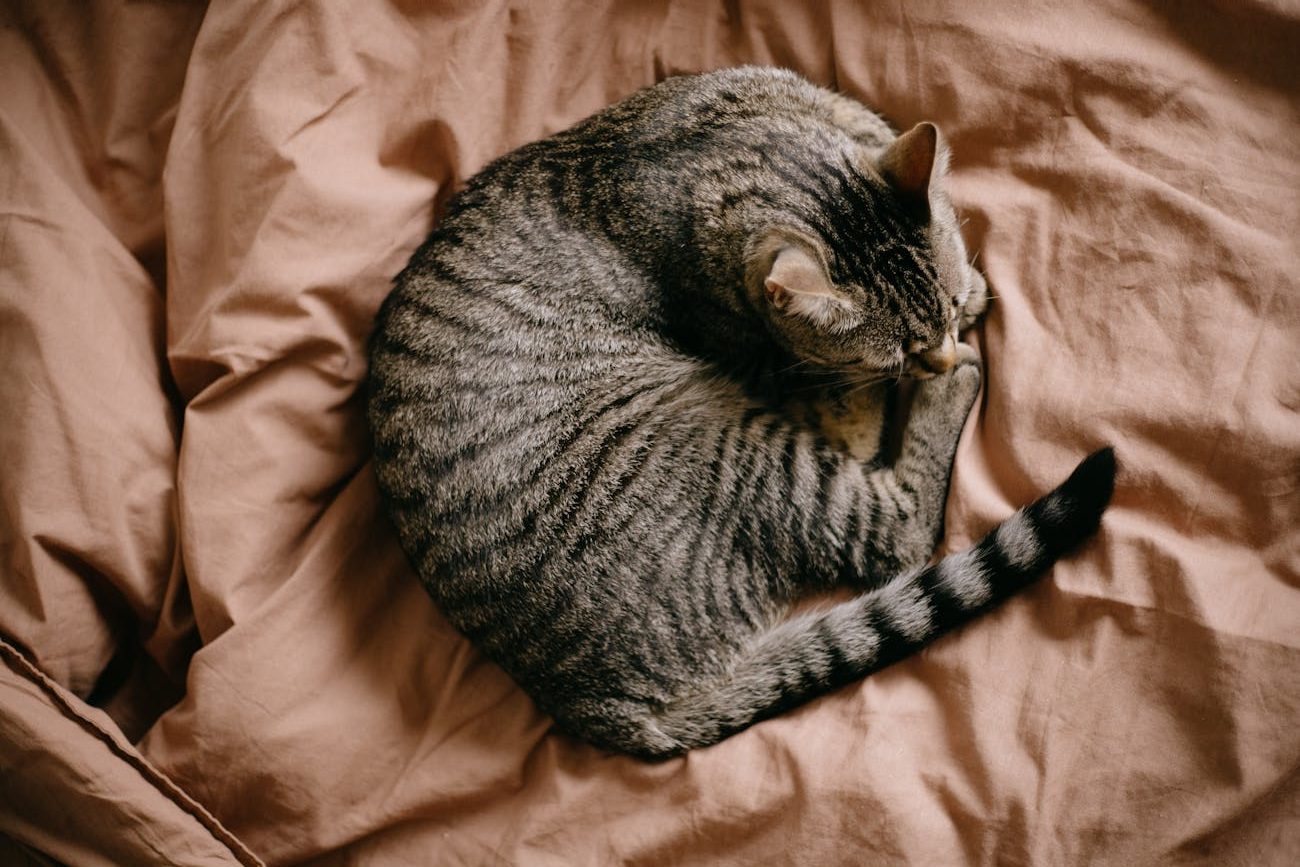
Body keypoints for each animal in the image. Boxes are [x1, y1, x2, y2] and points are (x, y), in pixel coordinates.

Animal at [366, 67, 1118, 759]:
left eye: (947, 305)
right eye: (896, 356)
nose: (935, 359)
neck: (718, 145)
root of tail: (590, 702)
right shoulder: (756, 355)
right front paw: (894, 381)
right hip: (741, 450)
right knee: (897, 530)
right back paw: (944, 393)